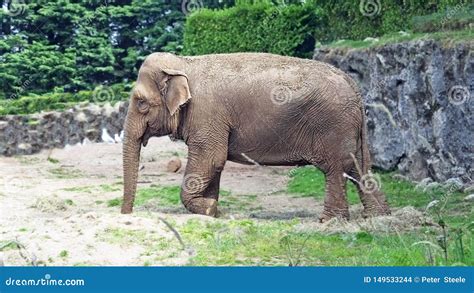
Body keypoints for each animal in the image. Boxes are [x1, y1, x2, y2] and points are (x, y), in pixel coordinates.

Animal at [120, 51, 390, 220]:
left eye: (141, 103)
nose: (126, 214)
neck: (184, 63)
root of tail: (354, 86)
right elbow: (215, 164)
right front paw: (214, 211)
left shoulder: (207, 114)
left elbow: (211, 158)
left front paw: (209, 209)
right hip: (348, 129)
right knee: (358, 167)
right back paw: (377, 217)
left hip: (332, 125)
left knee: (335, 169)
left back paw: (329, 221)